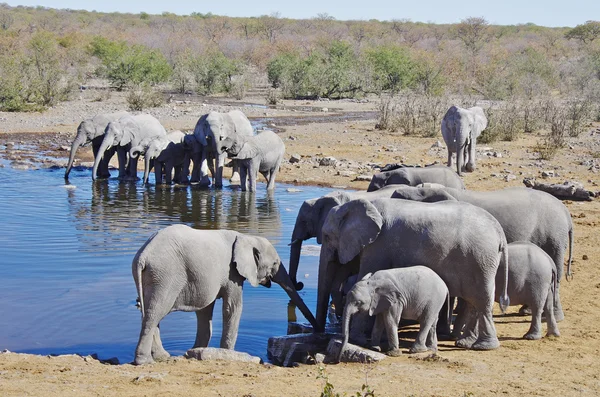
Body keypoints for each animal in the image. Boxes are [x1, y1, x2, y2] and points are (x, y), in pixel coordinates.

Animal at [132, 224, 318, 364]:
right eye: (274, 264)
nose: (316, 329)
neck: (246, 237)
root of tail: (143, 255)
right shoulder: (232, 273)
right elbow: (232, 308)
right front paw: (227, 353)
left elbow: (206, 310)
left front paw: (196, 351)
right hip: (165, 275)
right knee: (155, 313)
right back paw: (145, 361)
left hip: (154, 277)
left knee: (147, 311)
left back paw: (161, 357)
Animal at [316, 198, 508, 350]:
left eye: (326, 236)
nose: (319, 334)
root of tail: (499, 231)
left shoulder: (378, 246)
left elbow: (366, 273)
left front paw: (356, 340)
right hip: (480, 261)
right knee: (473, 301)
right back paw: (465, 343)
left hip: (480, 259)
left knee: (481, 300)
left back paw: (483, 346)